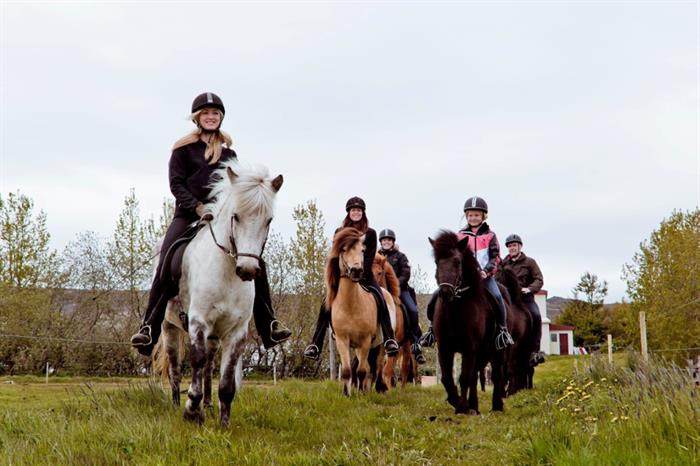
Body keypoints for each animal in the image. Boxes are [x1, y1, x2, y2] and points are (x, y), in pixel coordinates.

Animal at [155, 160, 282, 426]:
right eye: (236, 216)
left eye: (268, 220)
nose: (247, 269)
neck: (227, 273)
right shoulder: (198, 322)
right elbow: (196, 360)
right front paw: (191, 411)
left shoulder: (237, 331)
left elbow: (226, 382)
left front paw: (223, 422)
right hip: (169, 327)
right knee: (174, 365)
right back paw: (176, 403)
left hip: (214, 335)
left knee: (209, 363)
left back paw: (208, 404)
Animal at [326, 228, 396, 396]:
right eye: (343, 249)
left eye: (362, 250)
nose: (357, 271)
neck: (351, 305)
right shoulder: (342, 340)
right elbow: (346, 370)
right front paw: (347, 394)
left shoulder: (365, 340)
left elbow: (362, 371)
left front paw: (361, 395)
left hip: (380, 344)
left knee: (376, 366)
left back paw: (375, 388)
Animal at [372, 253, 416, 388]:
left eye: (380, 273)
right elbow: (379, 367)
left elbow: (387, 371)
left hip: (406, 345)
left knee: (404, 368)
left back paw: (401, 390)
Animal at [426, 230, 504, 416]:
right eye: (437, 262)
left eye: (457, 261)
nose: (445, 293)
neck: (456, 311)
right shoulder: (445, 347)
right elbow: (447, 378)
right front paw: (457, 402)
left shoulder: (470, 347)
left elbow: (464, 377)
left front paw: (462, 407)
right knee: (475, 376)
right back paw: (474, 405)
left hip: (495, 351)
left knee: (496, 375)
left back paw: (496, 406)